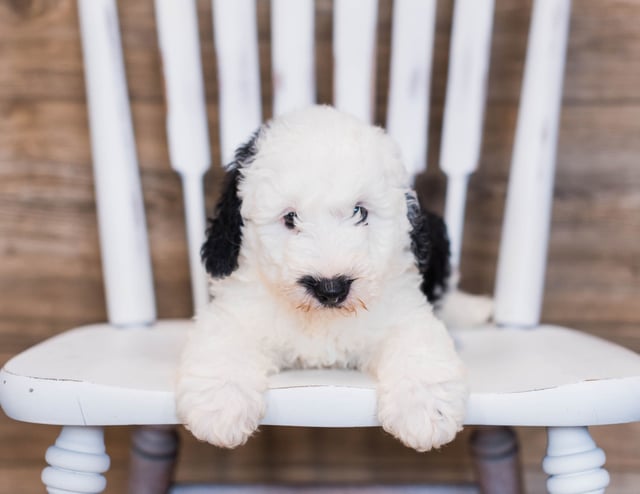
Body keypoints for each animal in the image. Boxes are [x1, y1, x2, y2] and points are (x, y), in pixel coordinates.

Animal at [178, 106, 468, 454]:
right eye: (290, 217)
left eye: (360, 212)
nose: (331, 288)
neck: (320, 319)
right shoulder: (237, 308)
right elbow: (224, 342)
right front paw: (220, 406)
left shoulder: (403, 309)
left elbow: (418, 345)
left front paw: (425, 410)